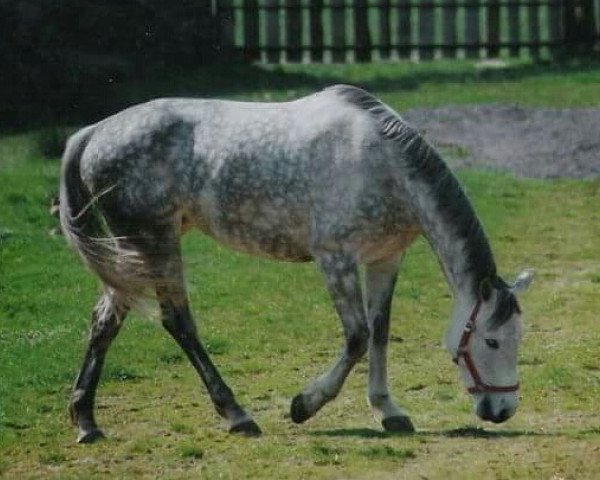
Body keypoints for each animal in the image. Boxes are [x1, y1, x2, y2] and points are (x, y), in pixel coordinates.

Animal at [58, 85, 532, 442]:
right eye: (491, 341)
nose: (501, 410)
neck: (380, 162)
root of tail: (94, 132)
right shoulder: (335, 259)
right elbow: (357, 337)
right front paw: (304, 405)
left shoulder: (384, 259)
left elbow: (379, 333)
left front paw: (388, 410)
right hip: (153, 244)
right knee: (177, 322)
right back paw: (237, 415)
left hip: (129, 255)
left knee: (104, 321)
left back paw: (87, 423)